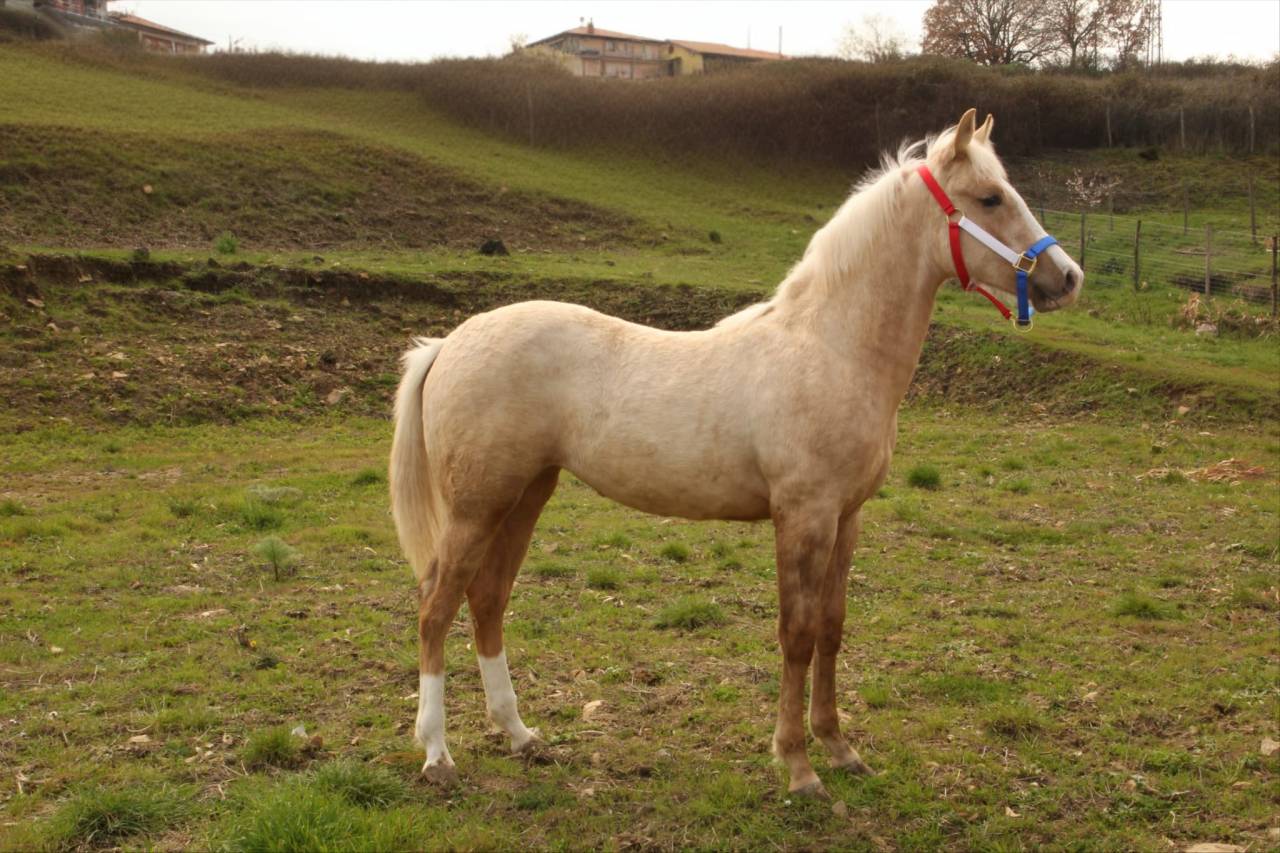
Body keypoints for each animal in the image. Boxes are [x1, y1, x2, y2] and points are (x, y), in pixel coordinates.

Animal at [389, 109, 1082, 798]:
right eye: (989, 198)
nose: (1068, 277)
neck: (832, 348)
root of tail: (449, 343)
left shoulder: (846, 518)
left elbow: (831, 629)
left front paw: (840, 749)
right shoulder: (803, 517)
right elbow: (796, 634)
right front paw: (799, 767)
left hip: (526, 495)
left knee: (487, 601)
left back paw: (520, 735)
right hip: (478, 507)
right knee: (436, 609)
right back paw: (438, 755)